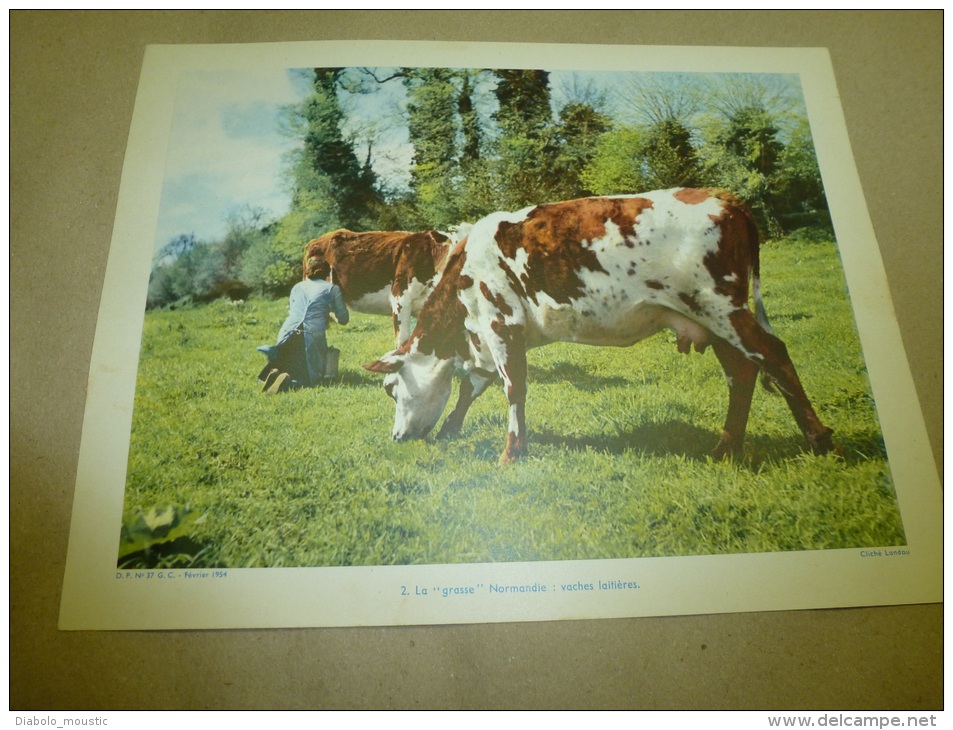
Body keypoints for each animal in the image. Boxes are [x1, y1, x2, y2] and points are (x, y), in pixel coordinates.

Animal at [364, 186, 832, 460]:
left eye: (392, 389)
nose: (396, 438)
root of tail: (726, 197)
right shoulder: (486, 334)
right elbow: (472, 387)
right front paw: (449, 429)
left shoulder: (501, 321)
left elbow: (513, 387)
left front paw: (511, 453)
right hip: (710, 318)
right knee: (743, 371)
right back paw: (725, 448)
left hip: (720, 306)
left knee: (774, 355)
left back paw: (821, 441)